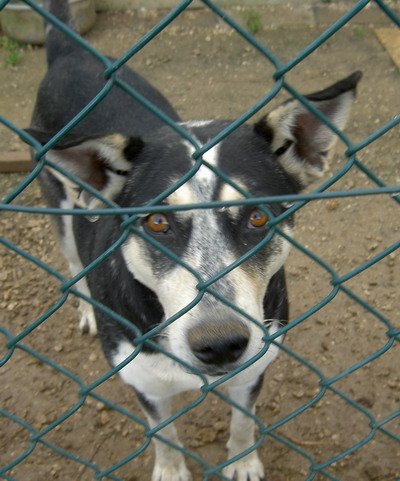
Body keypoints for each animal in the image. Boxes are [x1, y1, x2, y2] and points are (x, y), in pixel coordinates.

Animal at [25, 1, 362, 478]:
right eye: (157, 223)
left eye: (257, 217)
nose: (220, 344)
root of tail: (69, 51)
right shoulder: (145, 384)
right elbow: (164, 436)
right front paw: (171, 470)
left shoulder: (255, 366)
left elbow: (243, 420)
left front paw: (243, 461)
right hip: (61, 208)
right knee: (73, 261)